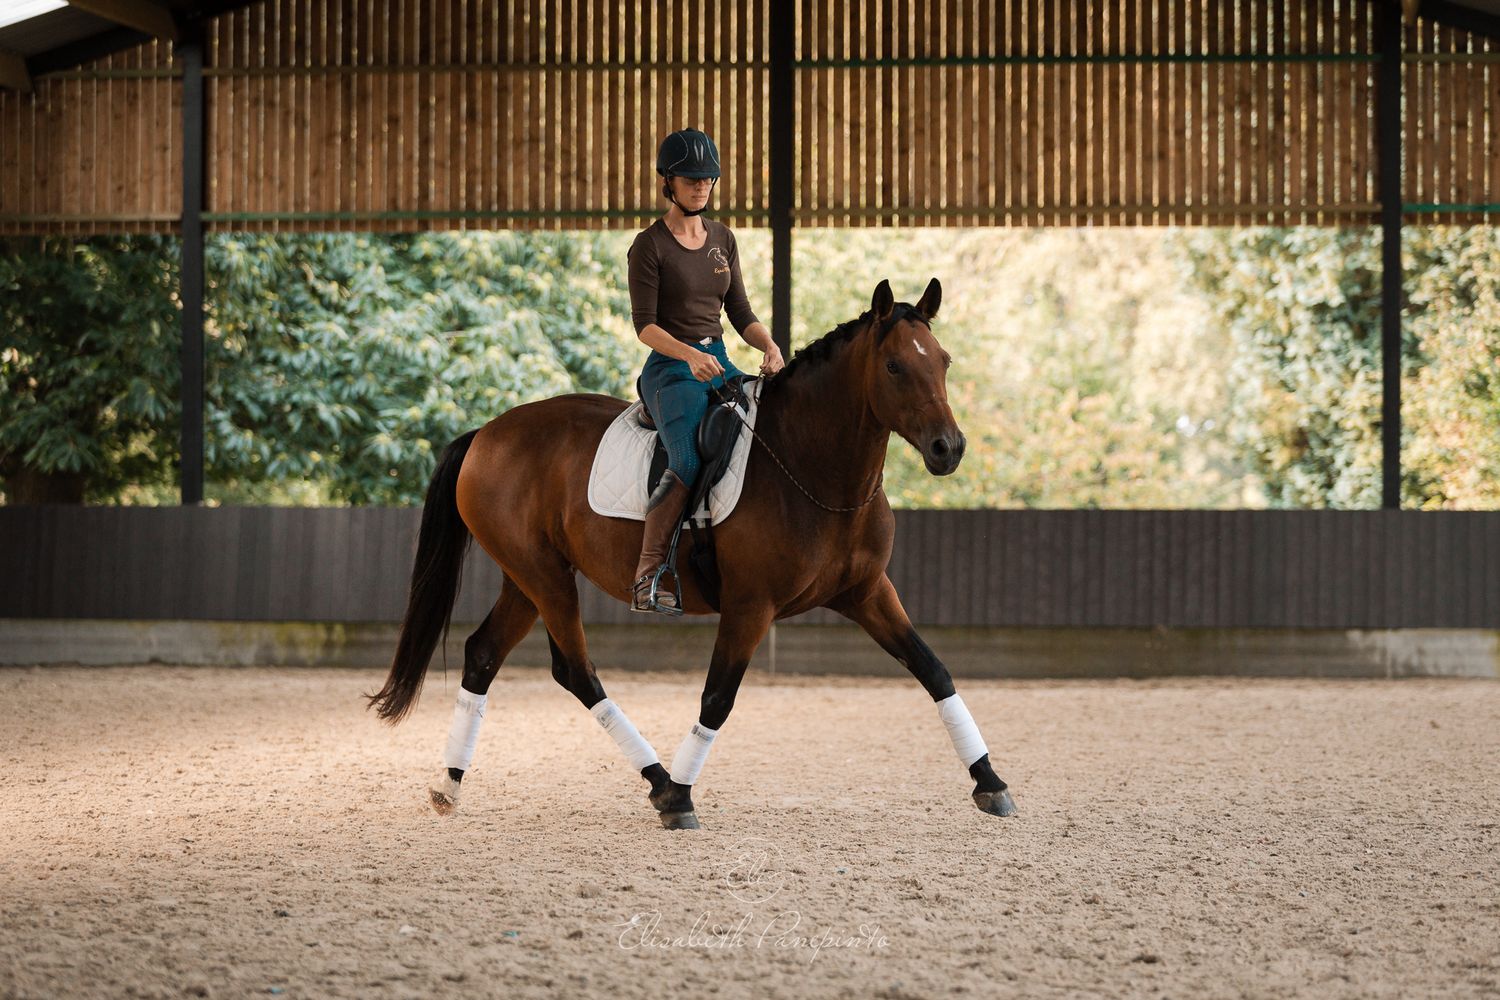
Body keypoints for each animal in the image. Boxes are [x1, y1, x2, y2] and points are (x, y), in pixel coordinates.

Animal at [366, 278, 1018, 829]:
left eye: (942, 361)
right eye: (894, 365)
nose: (949, 448)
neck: (809, 465)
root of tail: (486, 432)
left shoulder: (868, 593)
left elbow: (934, 670)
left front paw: (989, 781)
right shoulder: (751, 607)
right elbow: (718, 696)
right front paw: (681, 796)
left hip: (526, 578)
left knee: (483, 655)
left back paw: (450, 783)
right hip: (544, 577)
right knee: (576, 670)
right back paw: (658, 780)